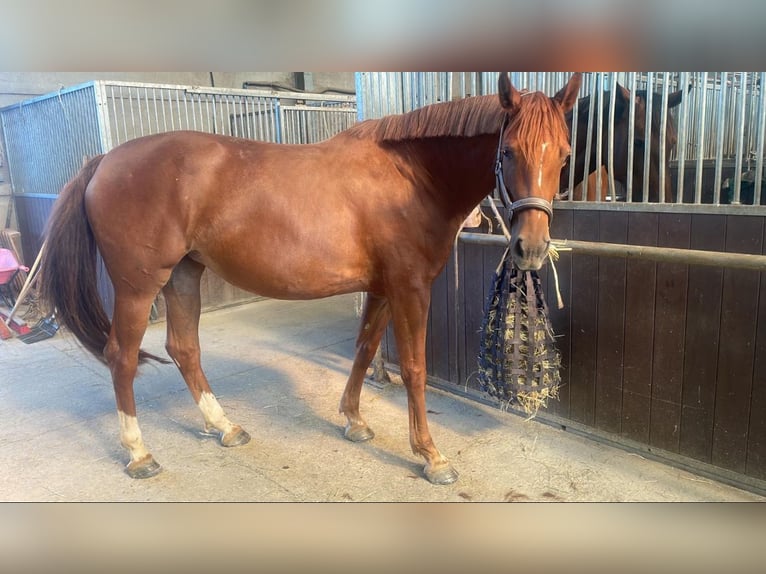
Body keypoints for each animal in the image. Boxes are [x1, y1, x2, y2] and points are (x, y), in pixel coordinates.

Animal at [39, 71, 584, 486]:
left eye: (563, 154)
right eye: (508, 151)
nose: (531, 249)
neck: (411, 178)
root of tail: (103, 162)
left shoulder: (382, 288)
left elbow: (365, 349)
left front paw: (355, 422)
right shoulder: (410, 287)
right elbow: (413, 368)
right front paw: (431, 455)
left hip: (184, 275)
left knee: (184, 348)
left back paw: (226, 427)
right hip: (139, 285)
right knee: (122, 356)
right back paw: (139, 453)